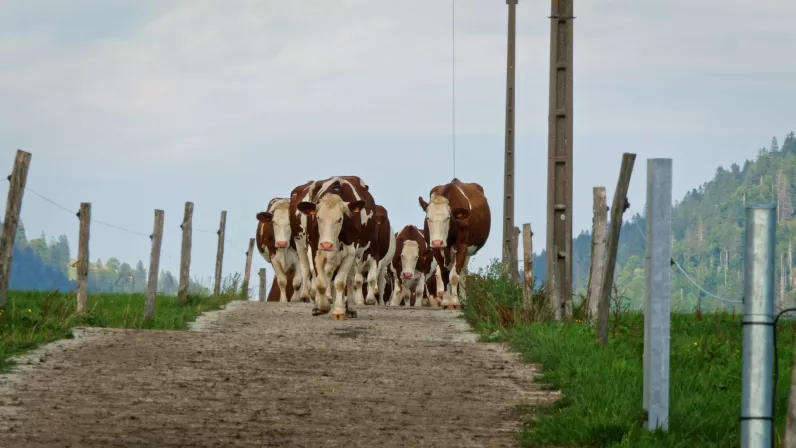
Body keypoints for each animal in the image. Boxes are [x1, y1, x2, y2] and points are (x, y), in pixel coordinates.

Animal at [296, 176, 377, 320]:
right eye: (318, 217)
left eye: (340, 219)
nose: (326, 244)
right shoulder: (316, 251)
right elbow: (321, 282)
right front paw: (322, 307)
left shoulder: (350, 253)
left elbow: (340, 282)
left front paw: (338, 310)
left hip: (356, 256)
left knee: (349, 280)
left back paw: (350, 308)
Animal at [418, 178, 491, 310]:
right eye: (428, 218)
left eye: (448, 218)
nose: (437, 242)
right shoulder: (436, 250)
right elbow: (444, 273)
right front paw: (447, 301)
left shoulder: (462, 246)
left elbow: (454, 276)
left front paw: (456, 301)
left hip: (468, 252)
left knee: (462, 272)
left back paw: (463, 300)